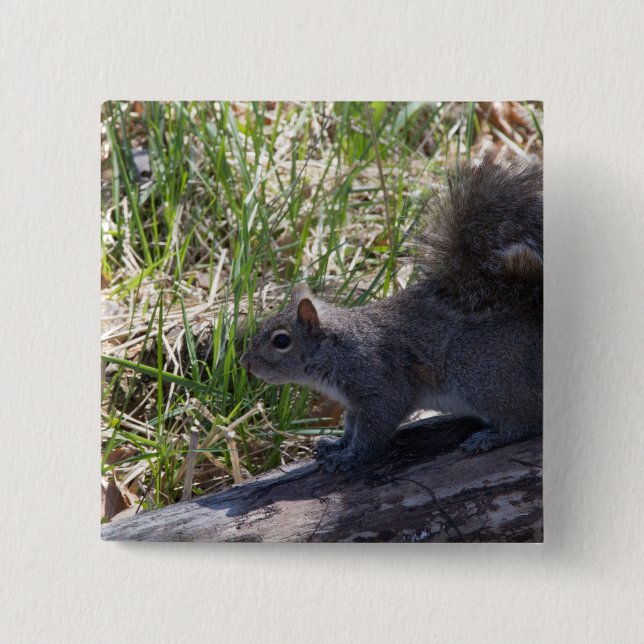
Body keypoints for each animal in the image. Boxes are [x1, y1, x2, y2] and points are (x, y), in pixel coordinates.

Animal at [240, 155, 543, 472]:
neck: (336, 346)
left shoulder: (379, 385)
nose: (245, 363)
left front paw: (350, 457)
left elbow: (373, 430)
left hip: (483, 376)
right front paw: (336, 444)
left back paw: (490, 437)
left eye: (281, 341)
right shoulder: (356, 402)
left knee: (525, 423)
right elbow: (351, 425)